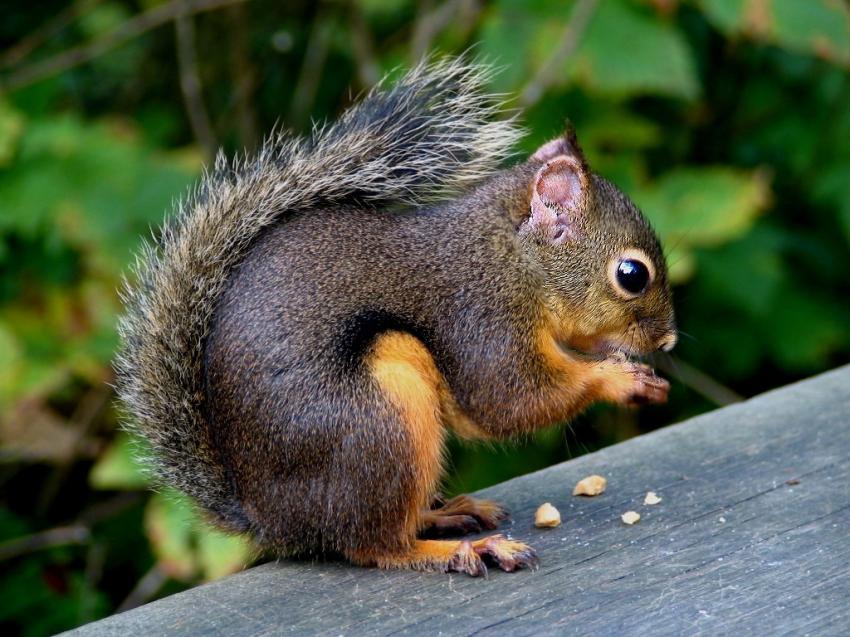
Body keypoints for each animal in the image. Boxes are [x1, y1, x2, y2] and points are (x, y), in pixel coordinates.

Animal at [115, 58, 676, 577]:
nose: (668, 341)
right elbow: (510, 400)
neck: (515, 258)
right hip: (380, 418)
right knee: (375, 545)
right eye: (632, 274)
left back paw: (446, 515)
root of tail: (272, 520)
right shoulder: (482, 316)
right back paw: (463, 549)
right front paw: (618, 379)